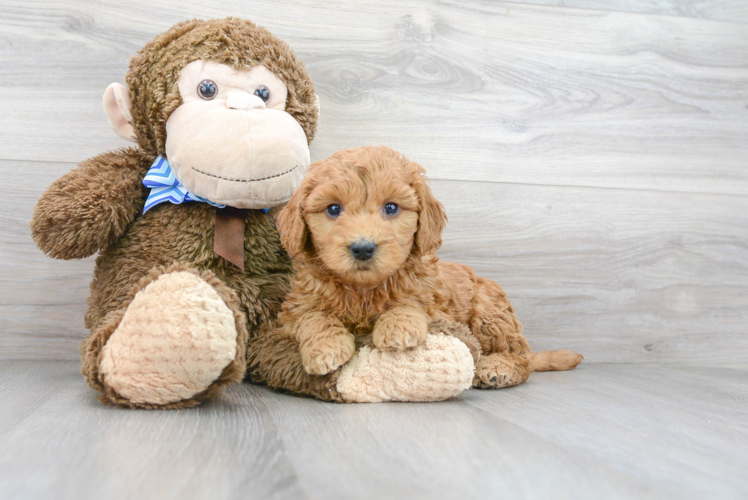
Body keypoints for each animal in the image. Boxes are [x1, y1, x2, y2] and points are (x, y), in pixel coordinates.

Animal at [276, 145, 584, 386]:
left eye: (391, 207)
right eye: (333, 209)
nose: (363, 247)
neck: (363, 289)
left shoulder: (433, 299)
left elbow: (413, 301)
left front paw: (398, 325)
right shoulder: (295, 308)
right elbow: (313, 316)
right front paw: (326, 346)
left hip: (490, 311)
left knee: (521, 357)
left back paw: (499, 368)